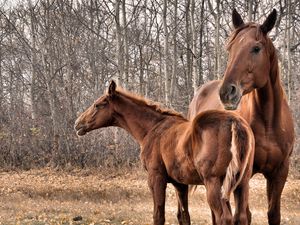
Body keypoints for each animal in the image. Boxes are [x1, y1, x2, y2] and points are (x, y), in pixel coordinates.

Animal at [74, 81, 253, 225]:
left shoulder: (156, 178)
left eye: (98, 104)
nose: (78, 123)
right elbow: (184, 216)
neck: (152, 128)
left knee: (224, 217)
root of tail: (234, 123)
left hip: (214, 183)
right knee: (241, 217)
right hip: (241, 184)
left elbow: (158, 215)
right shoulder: (180, 184)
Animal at [189, 8, 294, 225]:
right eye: (230, 49)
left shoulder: (280, 172)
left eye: (256, 48)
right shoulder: (244, 174)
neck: (268, 123)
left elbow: (273, 214)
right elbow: (245, 215)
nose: (226, 92)